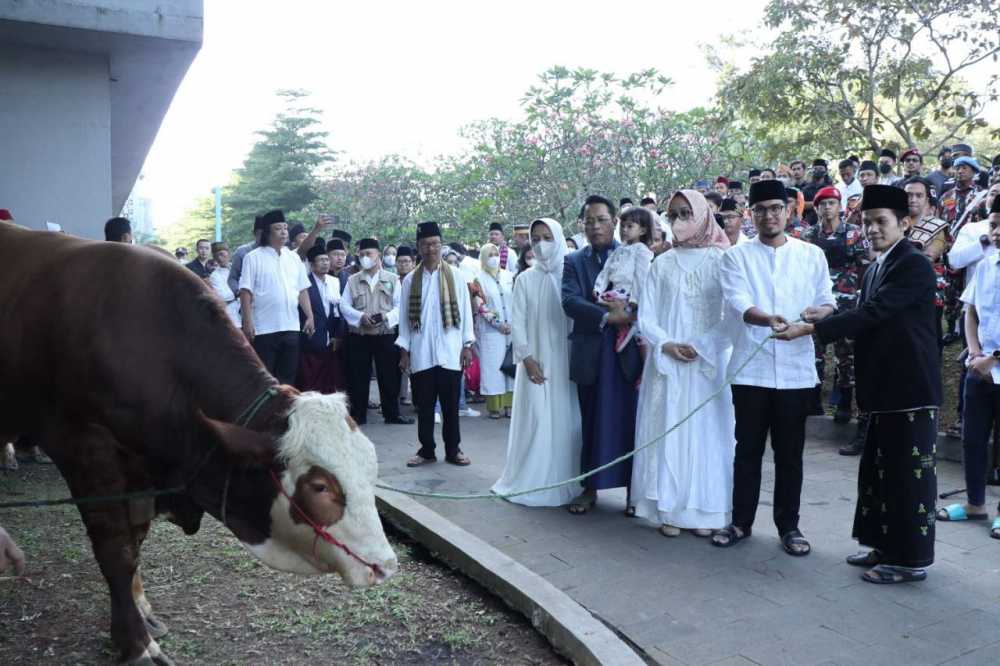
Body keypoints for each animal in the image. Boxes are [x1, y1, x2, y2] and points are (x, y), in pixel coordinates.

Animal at [0, 224, 398, 664]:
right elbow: (117, 551)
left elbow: (135, 543)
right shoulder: (87, 454)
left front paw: (142, 607)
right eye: (320, 485)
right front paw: (135, 641)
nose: (385, 565)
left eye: (369, 467)